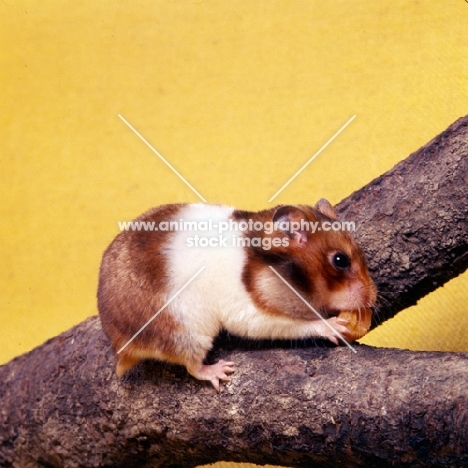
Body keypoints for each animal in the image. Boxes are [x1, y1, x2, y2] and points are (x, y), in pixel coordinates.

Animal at [98, 199, 376, 390]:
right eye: (340, 260)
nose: (374, 298)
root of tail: (120, 348)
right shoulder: (251, 313)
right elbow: (296, 324)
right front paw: (335, 326)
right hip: (186, 332)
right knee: (192, 366)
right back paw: (220, 371)